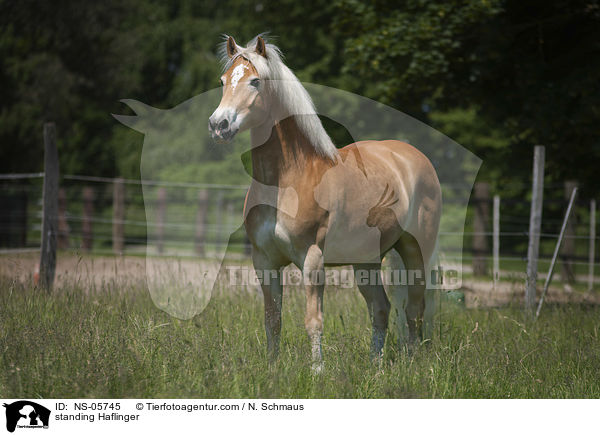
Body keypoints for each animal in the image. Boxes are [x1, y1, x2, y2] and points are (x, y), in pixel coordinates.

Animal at [210, 35, 440, 368]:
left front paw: (317, 370)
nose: (219, 125)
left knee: (415, 309)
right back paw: (376, 367)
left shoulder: (312, 259)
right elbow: (272, 319)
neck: (289, 180)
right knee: (381, 309)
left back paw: (412, 362)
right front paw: (272, 368)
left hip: (415, 250)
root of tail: (413, 157)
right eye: (223, 80)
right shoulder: (264, 262)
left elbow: (313, 320)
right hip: (366, 260)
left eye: (255, 81)